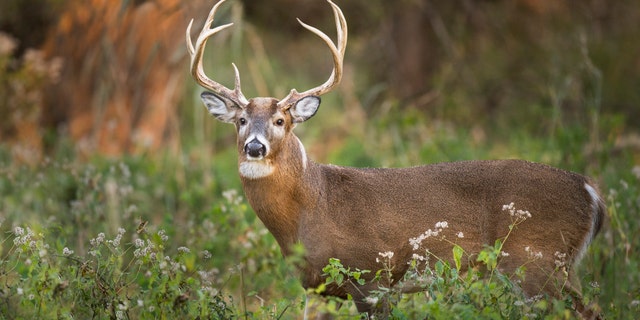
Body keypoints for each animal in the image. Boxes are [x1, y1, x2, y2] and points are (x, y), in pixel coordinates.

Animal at [185, 0, 604, 318]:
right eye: (241, 120)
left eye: (280, 121)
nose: (254, 147)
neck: (311, 207)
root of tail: (589, 190)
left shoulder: (374, 276)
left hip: (535, 261)